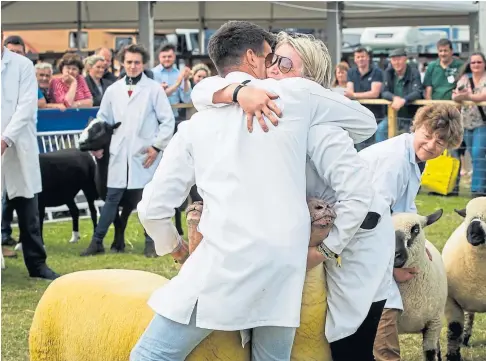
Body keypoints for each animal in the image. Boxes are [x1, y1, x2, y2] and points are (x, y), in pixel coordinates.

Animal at [442, 197, 486, 360]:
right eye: (467, 217)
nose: (473, 234)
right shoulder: (451, 300)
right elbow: (454, 329)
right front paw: (453, 356)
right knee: (468, 316)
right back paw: (465, 339)